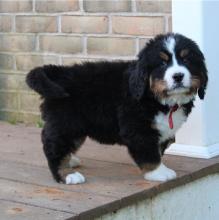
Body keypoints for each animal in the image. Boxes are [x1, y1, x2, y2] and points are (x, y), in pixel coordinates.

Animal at [25, 32, 207, 184]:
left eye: (186, 60)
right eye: (162, 63)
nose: (178, 76)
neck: (158, 99)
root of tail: (59, 72)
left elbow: (158, 150)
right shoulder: (138, 129)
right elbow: (149, 153)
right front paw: (159, 172)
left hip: (75, 126)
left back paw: (70, 160)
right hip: (66, 122)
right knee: (53, 147)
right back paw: (66, 174)